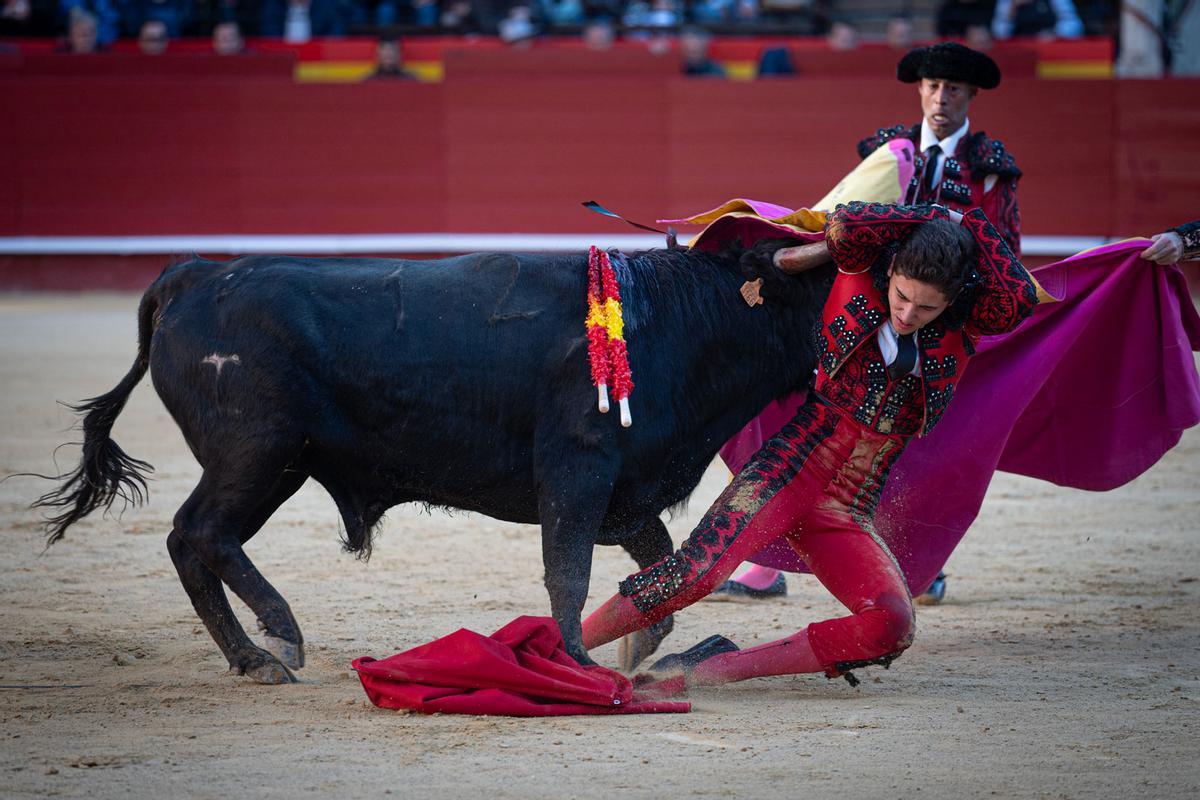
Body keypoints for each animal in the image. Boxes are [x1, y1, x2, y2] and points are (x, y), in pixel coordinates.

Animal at [37, 245, 830, 681]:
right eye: (825, 285)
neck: (669, 317)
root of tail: (193, 276)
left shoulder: (626, 493)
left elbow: (661, 568)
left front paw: (640, 648)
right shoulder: (576, 470)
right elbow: (568, 572)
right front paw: (579, 664)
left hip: (272, 467)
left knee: (195, 540)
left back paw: (251, 657)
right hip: (257, 453)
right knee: (199, 532)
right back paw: (277, 639)